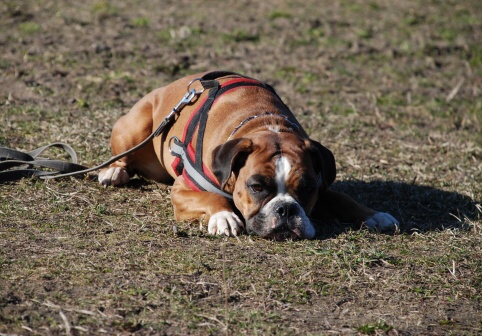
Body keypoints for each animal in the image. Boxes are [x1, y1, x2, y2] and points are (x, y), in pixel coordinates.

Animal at [99, 71, 400, 239]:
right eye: (256, 187)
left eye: (306, 189)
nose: (286, 209)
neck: (266, 124)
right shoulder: (182, 190)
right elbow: (211, 198)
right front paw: (225, 217)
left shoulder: (322, 184)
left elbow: (341, 198)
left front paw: (374, 215)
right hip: (136, 126)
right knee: (122, 155)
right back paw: (113, 171)